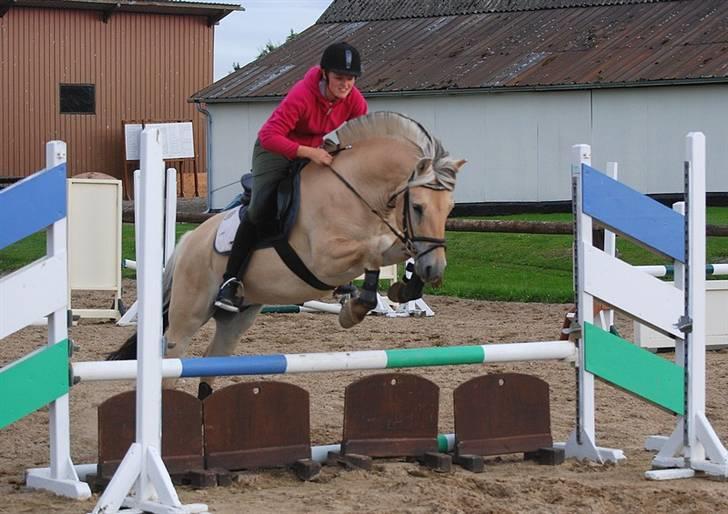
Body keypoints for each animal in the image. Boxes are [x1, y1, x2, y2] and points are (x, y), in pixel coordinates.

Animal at [111, 110, 470, 394]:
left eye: (450, 209)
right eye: (419, 207)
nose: (435, 269)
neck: (354, 188)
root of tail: (188, 242)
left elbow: (387, 252)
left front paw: (399, 289)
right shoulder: (324, 259)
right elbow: (373, 250)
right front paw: (355, 307)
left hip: (237, 317)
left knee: (210, 363)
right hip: (190, 312)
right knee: (171, 359)